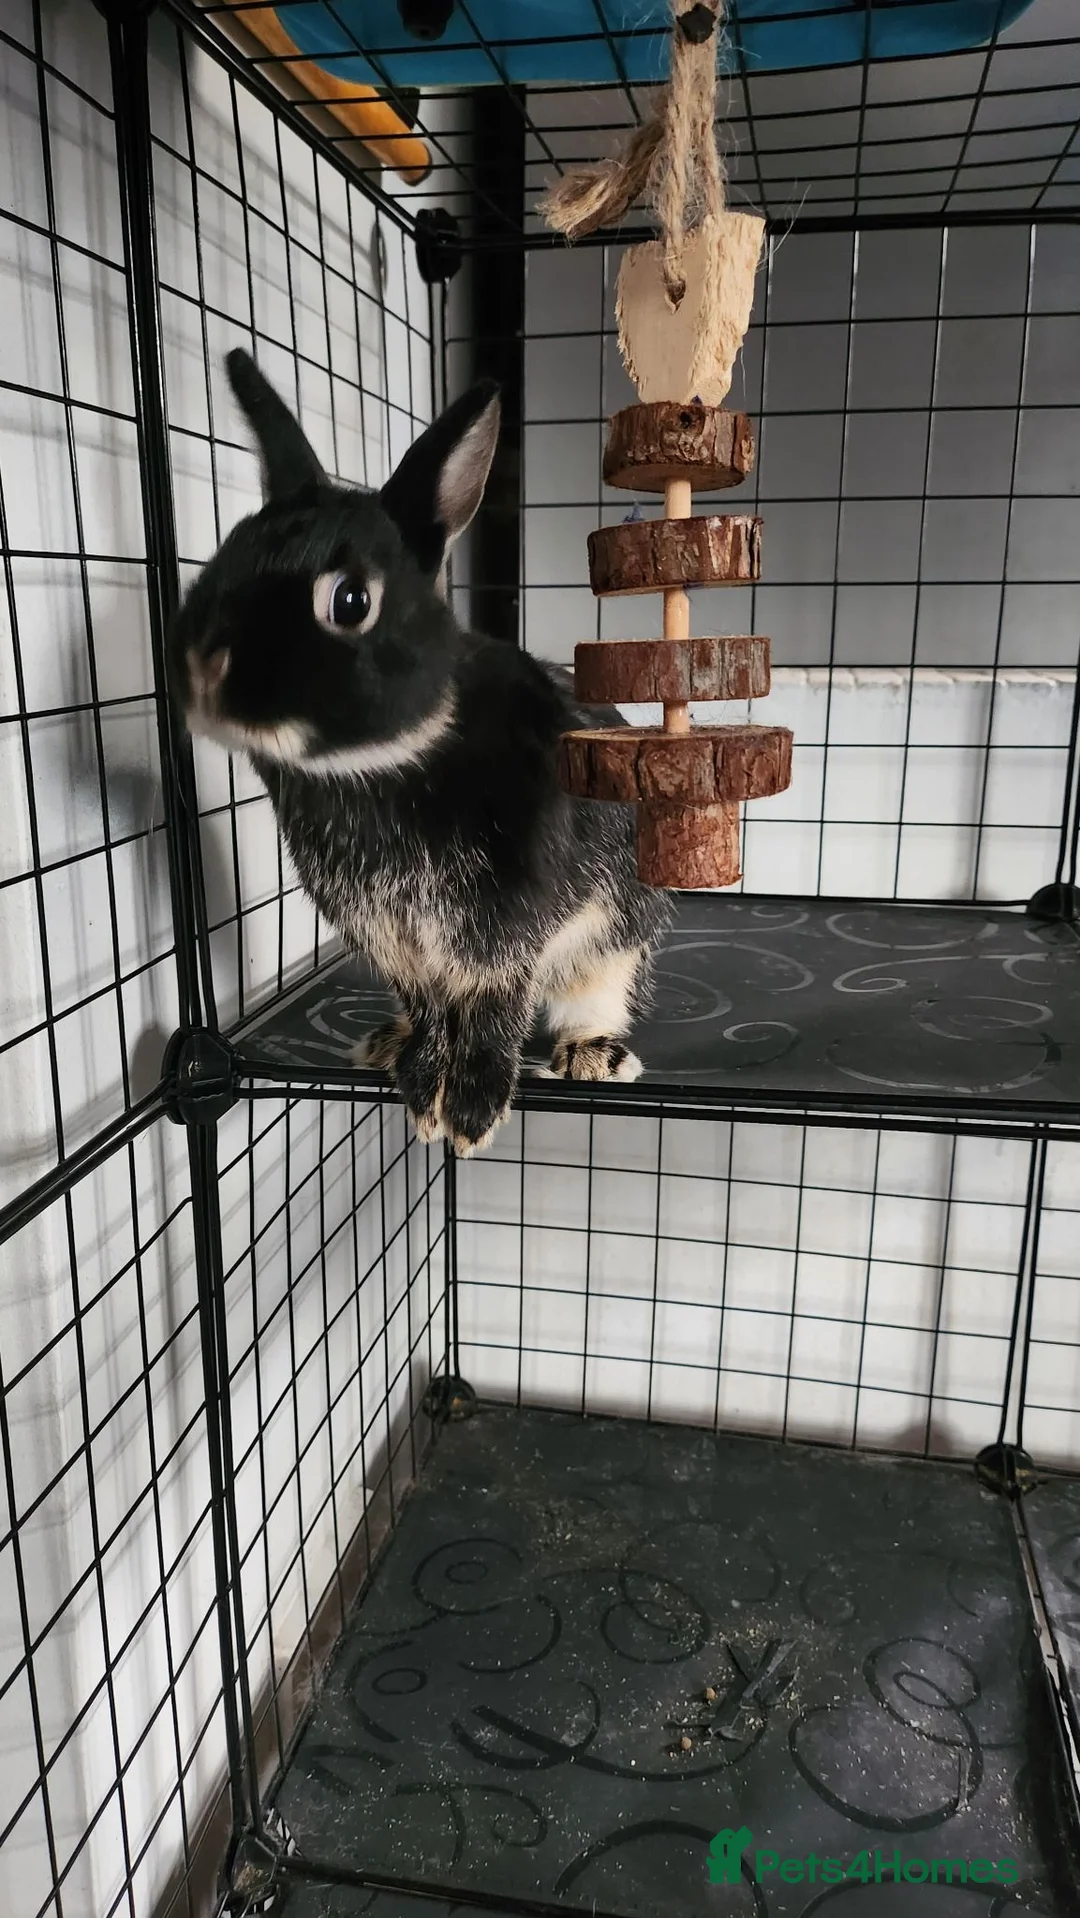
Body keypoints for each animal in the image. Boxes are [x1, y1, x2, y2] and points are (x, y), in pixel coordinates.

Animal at [169, 349, 670, 1155]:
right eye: (225, 553)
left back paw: (592, 1055)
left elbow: (495, 1007)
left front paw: (470, 1108)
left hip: (618, 932)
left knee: (594, 988)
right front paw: (424, 1081)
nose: (203, 666)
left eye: (350, 601)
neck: (385, 763)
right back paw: (389, 1044)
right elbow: (433, 1007)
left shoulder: (506, 928)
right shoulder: (391, 938)